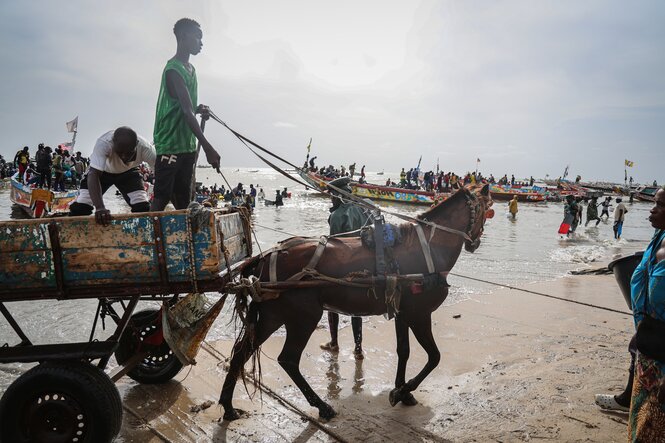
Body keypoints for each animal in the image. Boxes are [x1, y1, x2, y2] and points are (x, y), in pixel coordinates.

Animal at [220, 184, 490, 420]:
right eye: (487, 210)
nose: (475, 242)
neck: (430, 247)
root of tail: (264, 258)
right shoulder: (420, 313)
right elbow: (434, 357)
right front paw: (402, 391)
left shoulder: (402, 313)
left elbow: (403, 351)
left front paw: (402, 392)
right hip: (303, 317)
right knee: (288, 359)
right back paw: (322, 406)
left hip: (272, 315)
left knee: (241, 352)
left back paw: (228, 406)